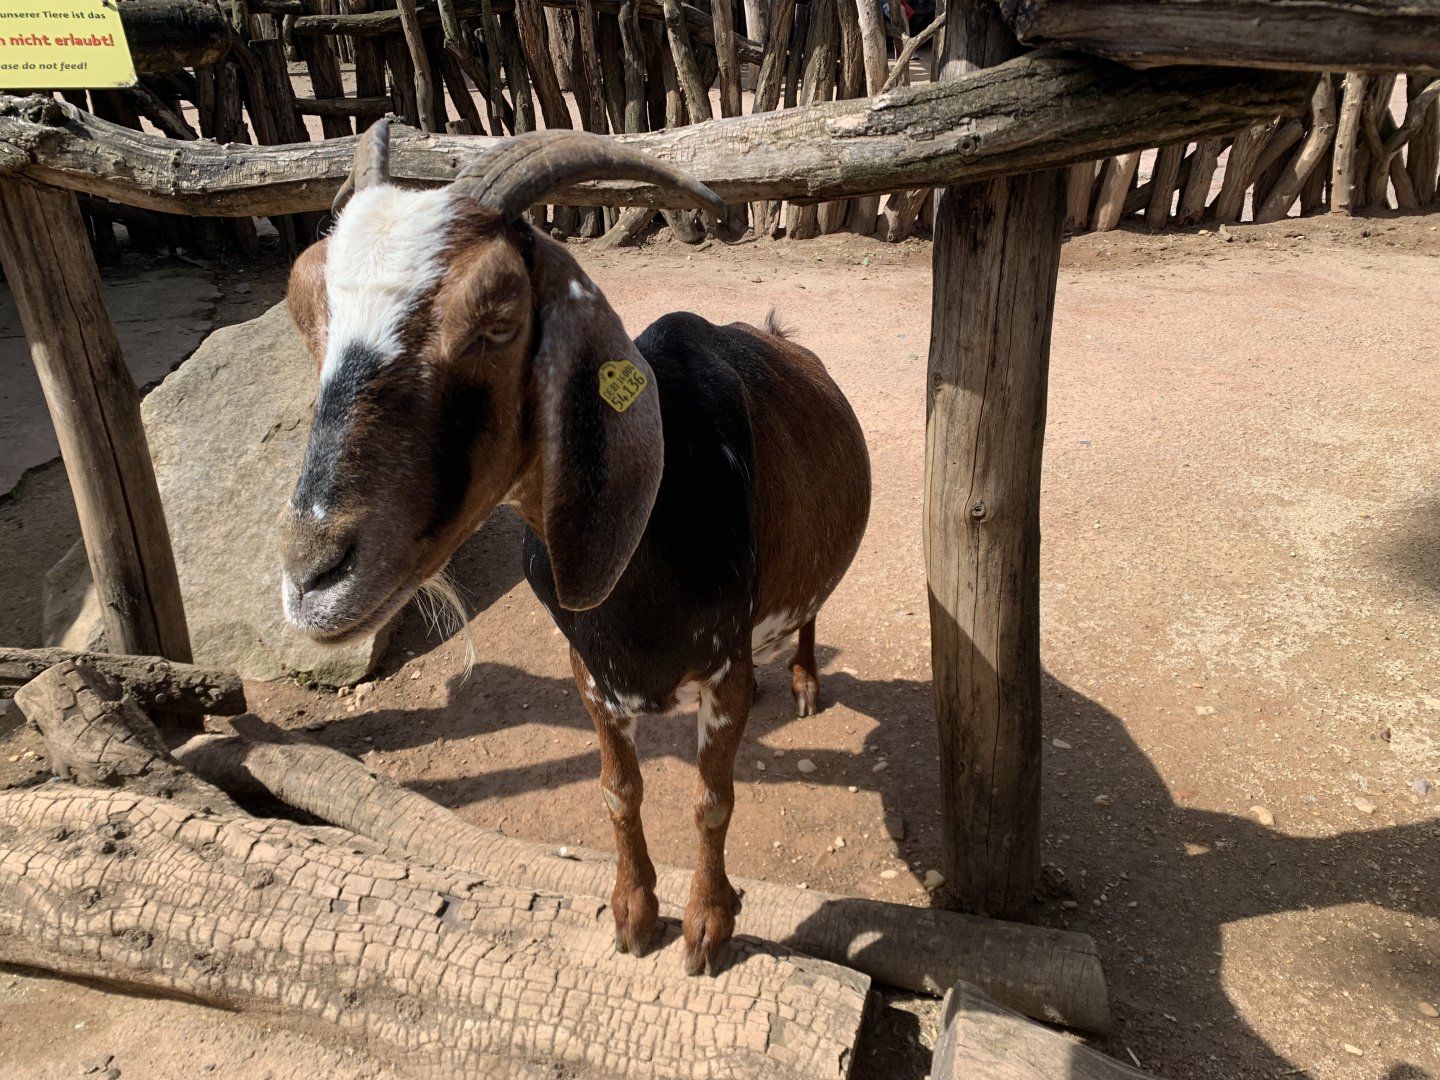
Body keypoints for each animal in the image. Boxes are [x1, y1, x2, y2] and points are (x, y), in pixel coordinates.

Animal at [279, 121, 872, 975]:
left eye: (497, 316)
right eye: (303, 306)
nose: (313, 575)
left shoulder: (724, 667)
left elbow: (711, 799)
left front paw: (706, 925)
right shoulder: (590, 671)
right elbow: (619, 791)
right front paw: (633, 913)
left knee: (811, 612)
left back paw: (802, 684)